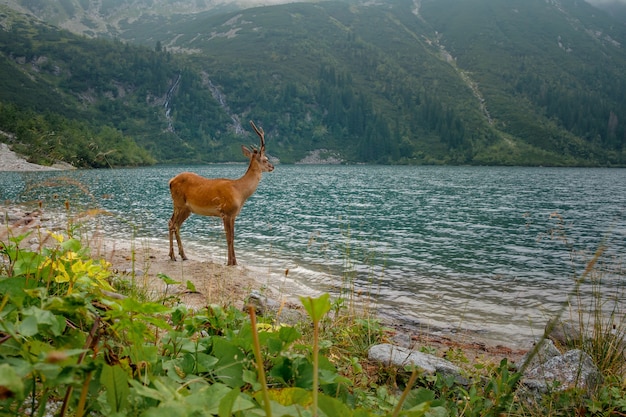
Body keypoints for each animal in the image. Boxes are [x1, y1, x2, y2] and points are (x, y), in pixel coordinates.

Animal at [167, 118, 272, 264]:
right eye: (265, 159)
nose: (272, 166)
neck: (239, 191)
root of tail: (171, 181)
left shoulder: (233, 215)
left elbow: (232, 237)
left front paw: (235, 262)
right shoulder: (226, 212)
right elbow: (228, 238)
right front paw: (229, 262)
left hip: (187, 209)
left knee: (175, 225)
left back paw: (183, 255)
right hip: (178, 203)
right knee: (171, 223)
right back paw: (172, 256)